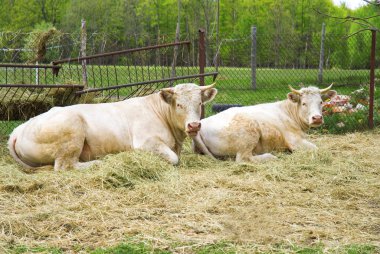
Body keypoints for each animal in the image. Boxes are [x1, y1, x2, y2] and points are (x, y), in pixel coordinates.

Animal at [8, 83, 217, 171]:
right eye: (179, 104)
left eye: (200, 103)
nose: (194, 125)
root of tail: (20, 128)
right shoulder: (146, 142)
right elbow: (174, 159)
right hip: (71, 133)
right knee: (65, 166)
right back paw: (100, 162)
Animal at [193, 84, 336, 162]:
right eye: (304, 103)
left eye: (321, 102)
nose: (317, 118)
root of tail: (202, 123)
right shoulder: (295, 141)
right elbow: (316, 148)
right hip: (249, 133)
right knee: (243, 158)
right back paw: (271, 156)